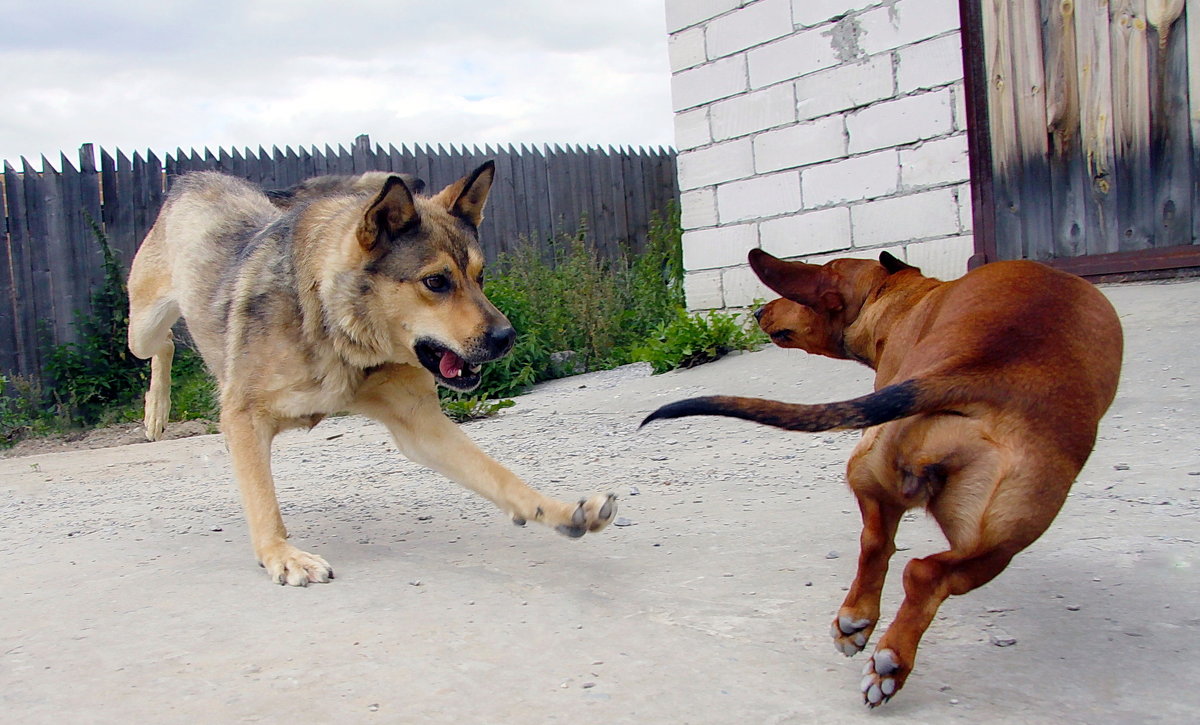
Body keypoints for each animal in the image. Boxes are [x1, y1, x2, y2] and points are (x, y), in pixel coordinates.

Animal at [648, 249, 1123, 705]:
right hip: (1004, 534)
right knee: (923, 572)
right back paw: (889, 658)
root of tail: (975, 369)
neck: (904, 297)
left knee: (884, 548)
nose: (762, 311)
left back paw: (860, 627)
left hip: (898, 483)